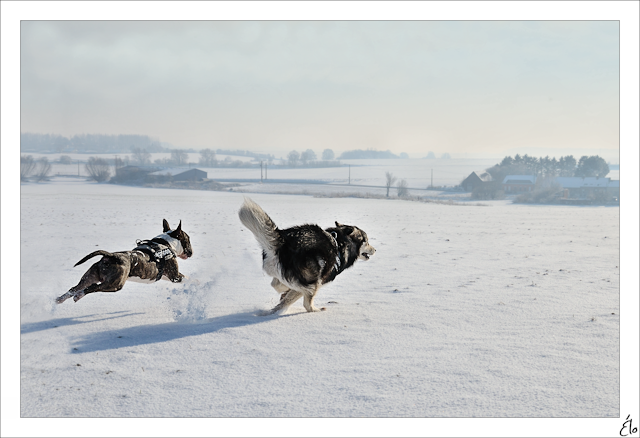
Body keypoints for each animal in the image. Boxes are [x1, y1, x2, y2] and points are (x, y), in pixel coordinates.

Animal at [55, 219, 192, 304]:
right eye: (188, 239)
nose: (191, 252)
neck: (166, 244)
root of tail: (111, 256)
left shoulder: (164, 275)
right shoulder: (174, 276)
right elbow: (188, 279)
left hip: (91, 276)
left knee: (75, 288)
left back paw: (59, 299)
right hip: (115, 284)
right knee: (92, 287)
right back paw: (78, 296)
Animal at [238, 198, 372, 314]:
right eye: (366, 241)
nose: (374, 250)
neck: (340, 242)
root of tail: (284, 242)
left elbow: (281, 288)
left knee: (276, 285)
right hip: (312, 280)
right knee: (306, 303)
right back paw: (315, 310)